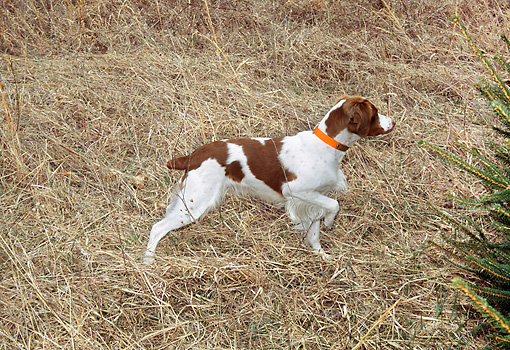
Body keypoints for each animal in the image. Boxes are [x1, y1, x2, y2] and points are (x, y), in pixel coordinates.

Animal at [143, 95, 394, 262]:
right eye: (375, 113)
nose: (393, 122)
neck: (325, 145)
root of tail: (193, 155)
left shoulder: (312, 199)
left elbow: (314, 232)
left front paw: (323, 257)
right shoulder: (297, 192)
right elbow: (334, 205)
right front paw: (330, 222)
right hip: (195, 203)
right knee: (157, 227)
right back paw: (148, 262)